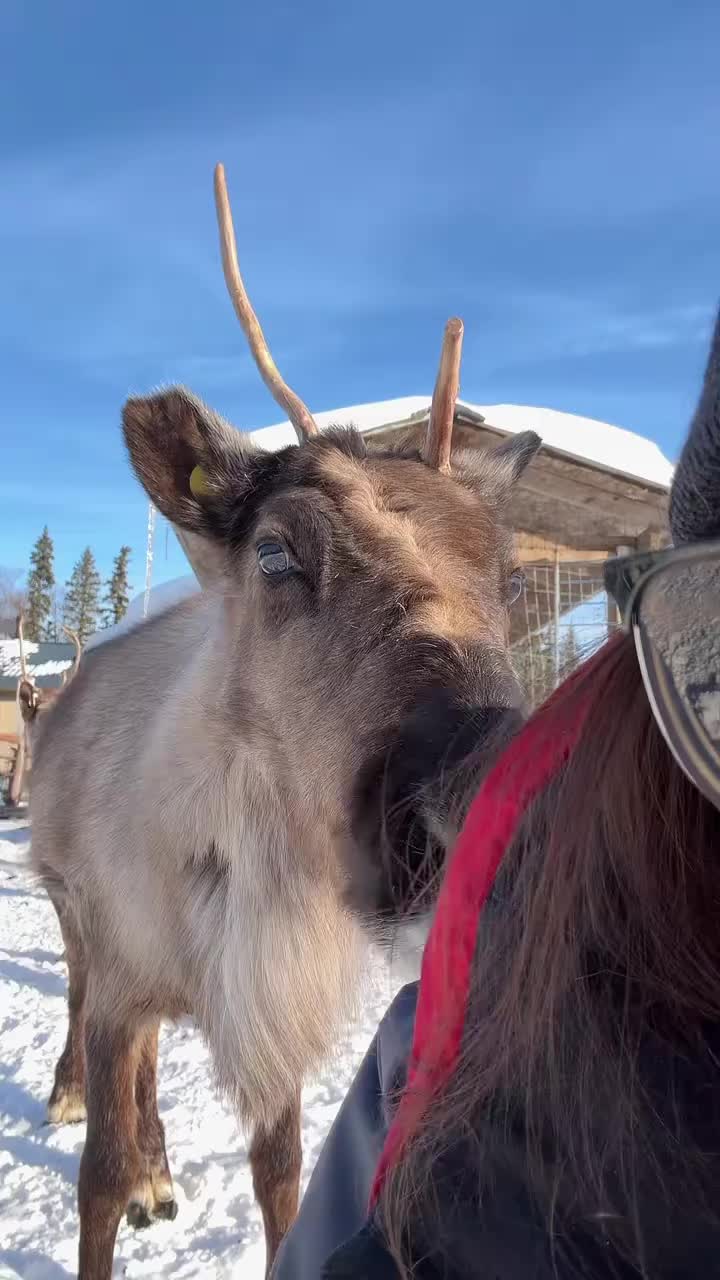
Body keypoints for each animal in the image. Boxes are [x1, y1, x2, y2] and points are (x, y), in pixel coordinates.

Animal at [28, 162, 542, 1279]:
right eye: (275, 551)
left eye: (514, 575)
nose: (472, 790)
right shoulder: (124, 968)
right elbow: (95, 1180)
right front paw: (117, 1172)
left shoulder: (274, 1000)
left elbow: (283, 1176)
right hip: (74, 912)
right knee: (86, 1017)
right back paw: (80, 1102)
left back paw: (162, 1171)